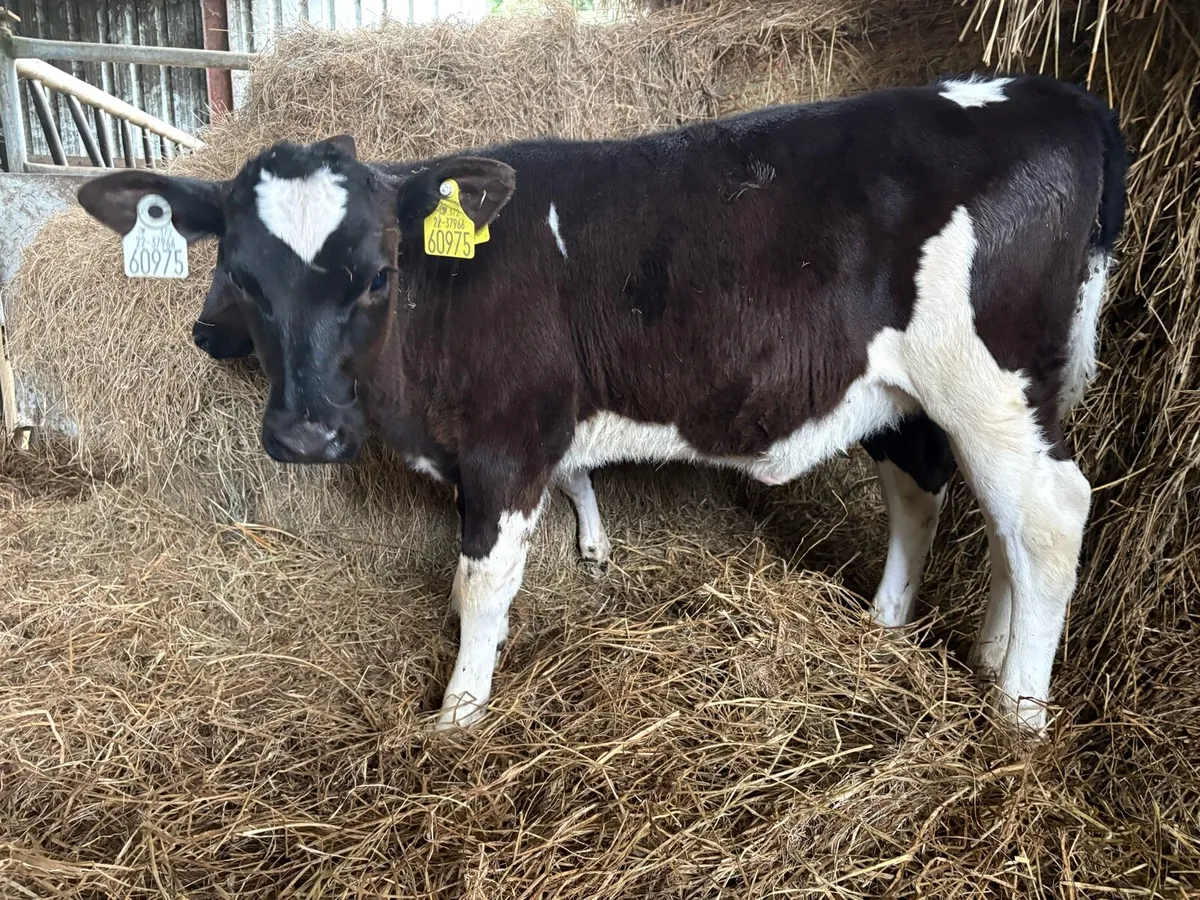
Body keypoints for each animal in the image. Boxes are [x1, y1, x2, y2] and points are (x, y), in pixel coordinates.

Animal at [77, 73, 1127, 735]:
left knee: (1047, 516)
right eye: (241, 275)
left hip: (986, 381)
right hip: (927, 394)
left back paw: (1019, 716)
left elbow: (480, 584)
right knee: (945, 502)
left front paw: (457, 715)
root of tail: (1056, 96)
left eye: (378, 275)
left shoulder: (505, 443)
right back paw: (924, 638)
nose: (304, 431)